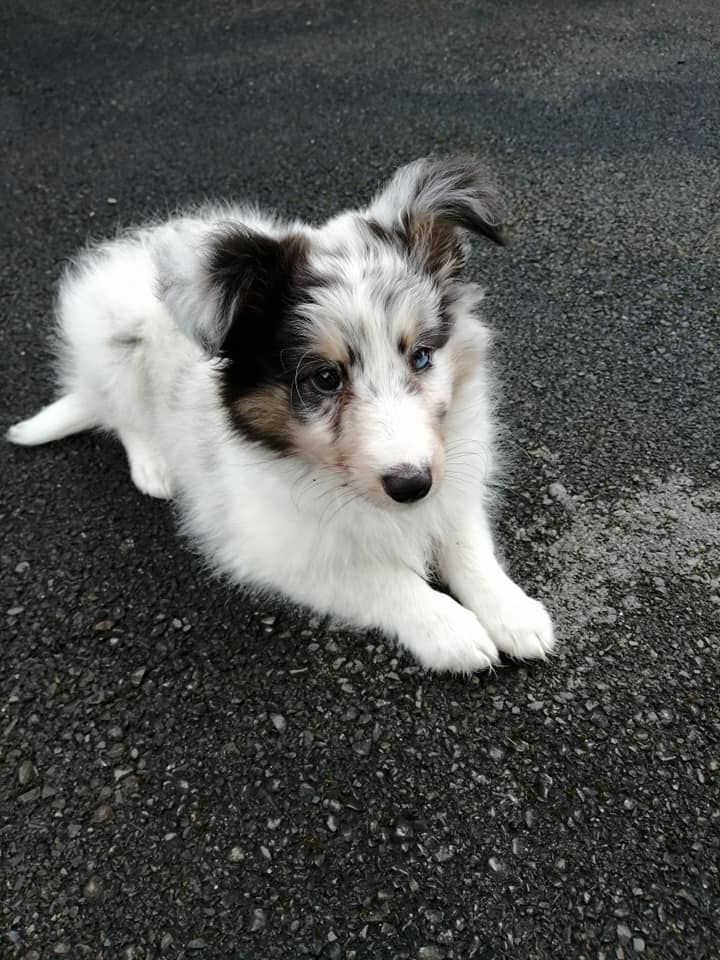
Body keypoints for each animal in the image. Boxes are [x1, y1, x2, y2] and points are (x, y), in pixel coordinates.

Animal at [7, 157, 555, 673]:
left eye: (421, 356)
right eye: (325, 378)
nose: (411, 485)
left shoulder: (454, 469)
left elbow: (466, 540)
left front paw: (513, 612)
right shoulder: (271, 545)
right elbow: (380, 578)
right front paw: (450, 630)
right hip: (116, 341)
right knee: (123, 414)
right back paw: (153, 467)